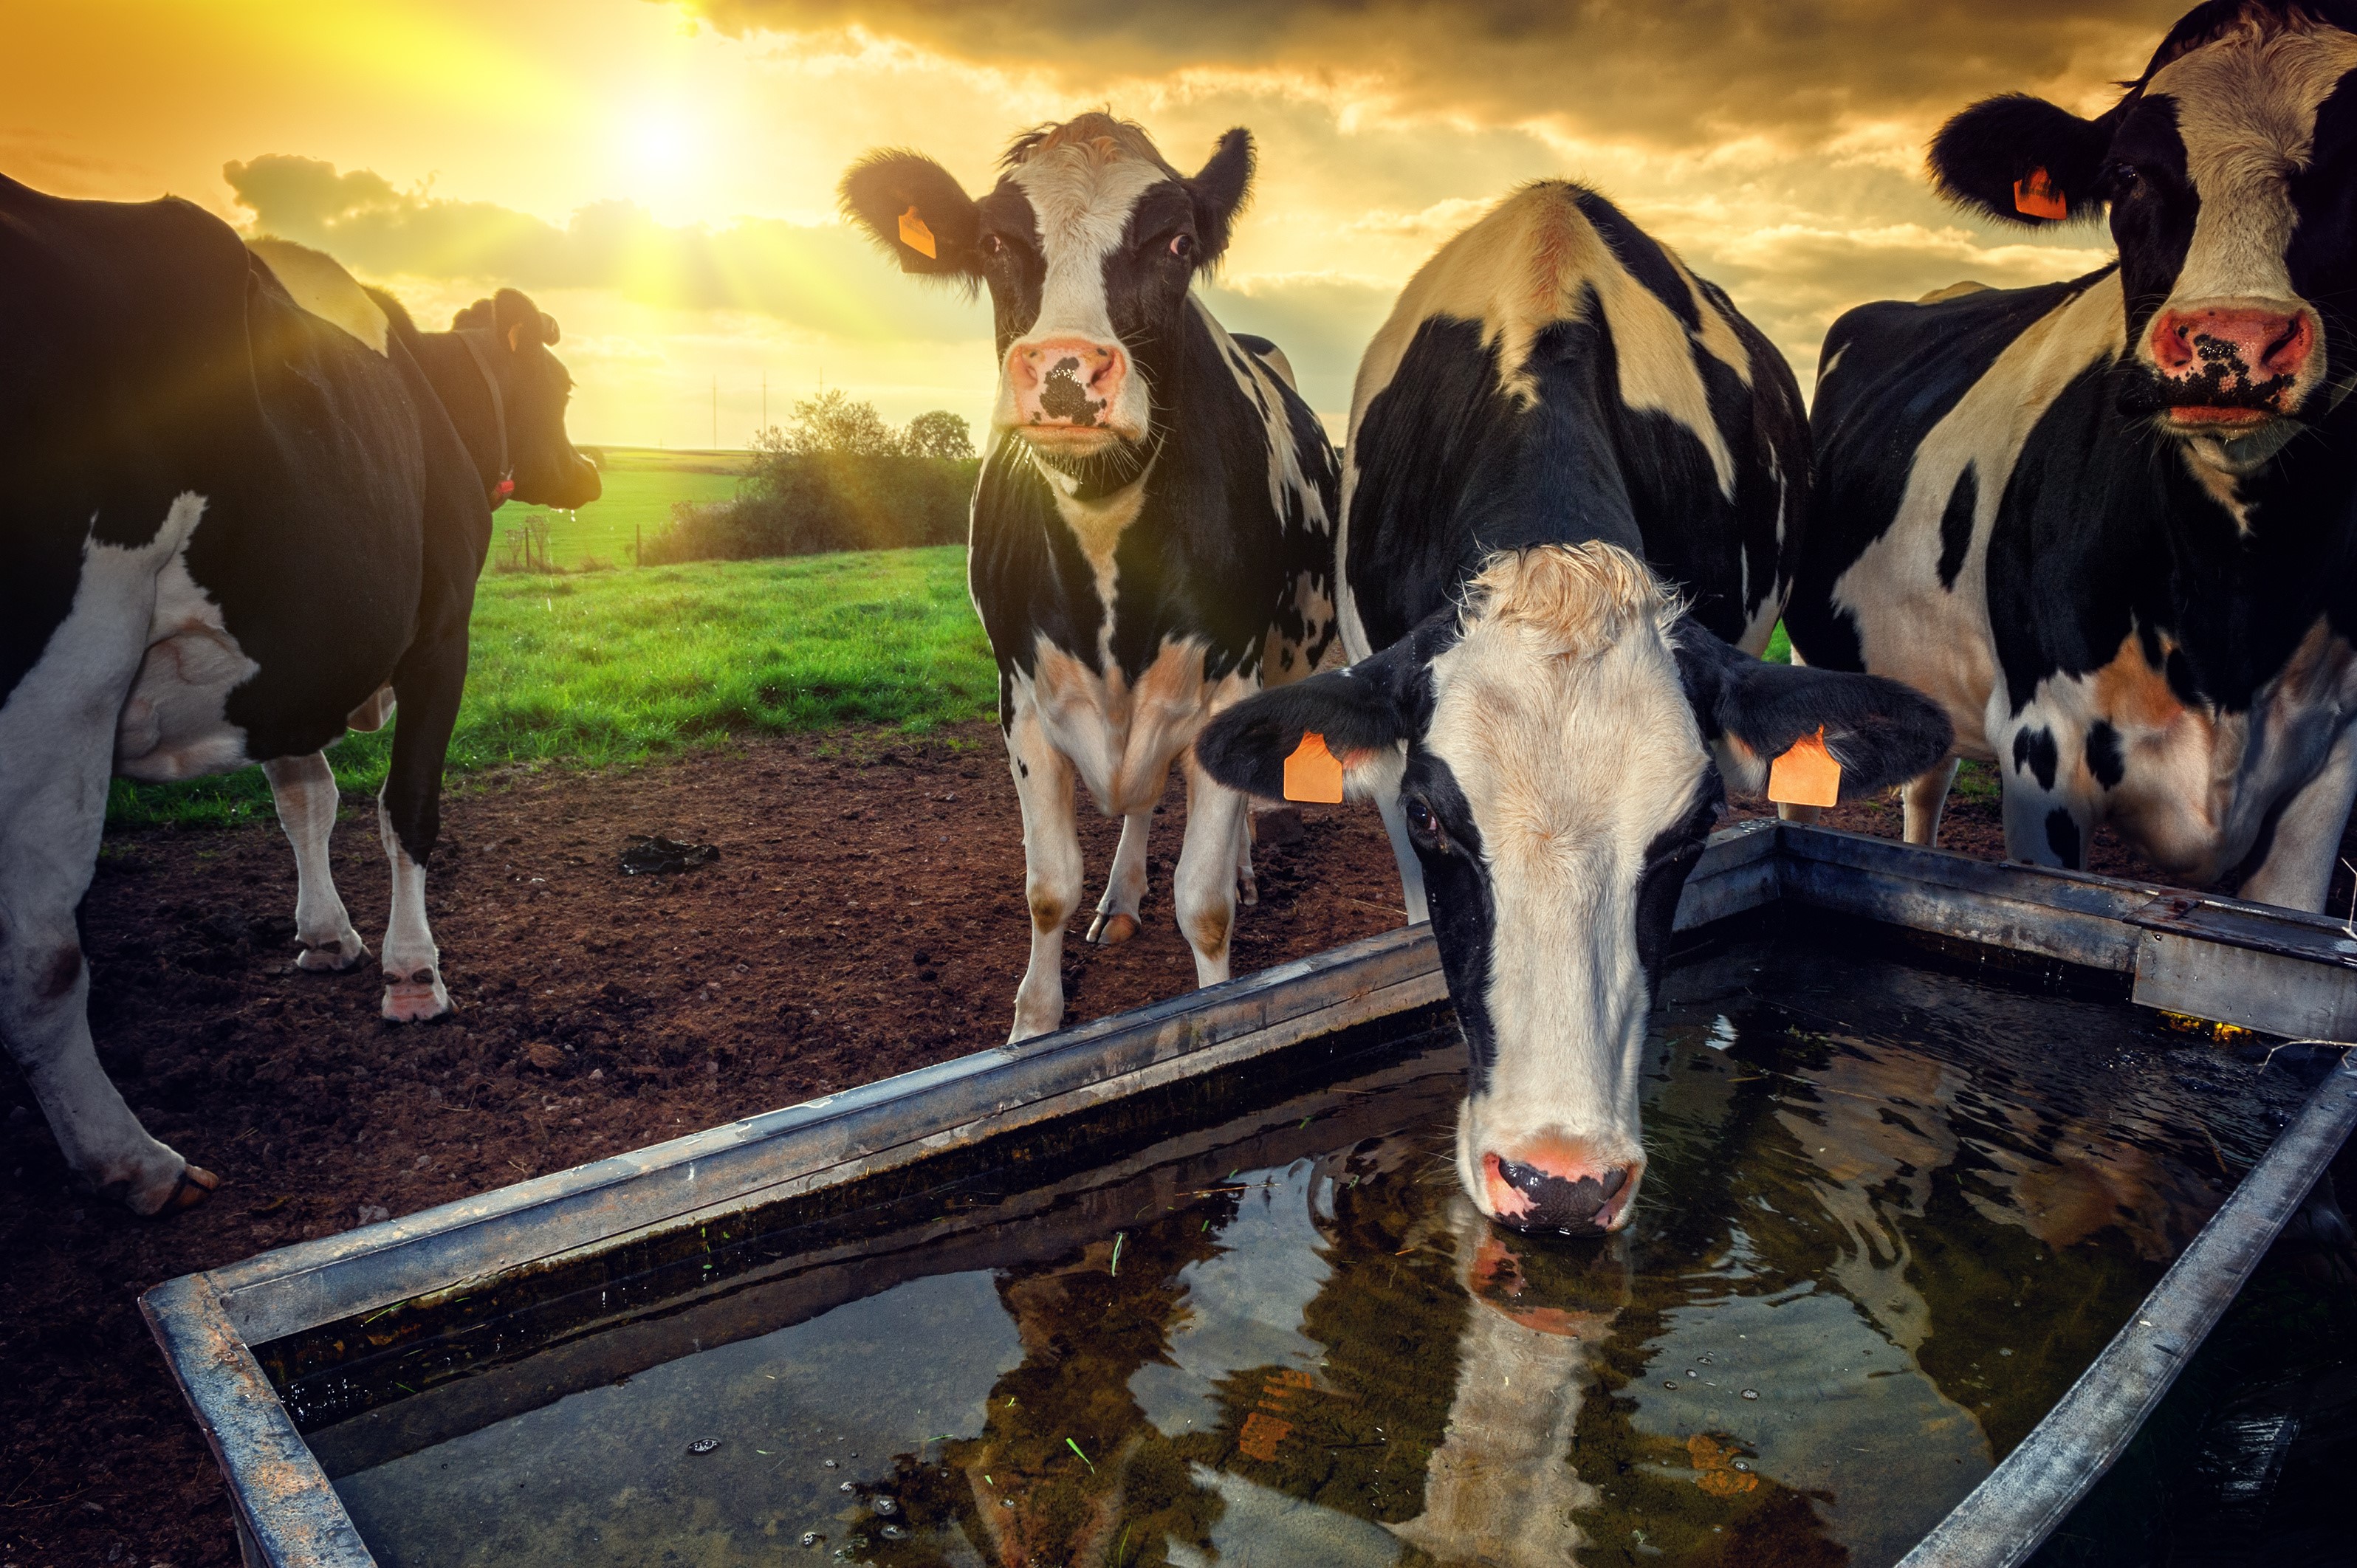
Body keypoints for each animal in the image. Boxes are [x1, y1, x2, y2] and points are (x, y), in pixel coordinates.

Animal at [0, 180, 596, 1214]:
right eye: (559, 390)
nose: (594, 472)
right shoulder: (440, 632)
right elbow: (408, 807)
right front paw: (412, 975)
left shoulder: (289, 658)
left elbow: (305, 800)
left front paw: (326, 938)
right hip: (64, 684)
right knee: (41, 956)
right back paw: (139, 1162)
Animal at [840, 114, 1340, 1042]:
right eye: (995, 242)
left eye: (1177, 243)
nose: (1068, 369)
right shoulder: (1025, 699)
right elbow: (1048, 889)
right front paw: (1034, 1024)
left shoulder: (1225, 685)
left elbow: (1204, 905)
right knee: (1138, 804)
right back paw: (1122, 896)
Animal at [1787, 0, 2357, 912]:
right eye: (2125, 174)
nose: (2233, 341)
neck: (2232, 599)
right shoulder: (2042, 749)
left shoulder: (2329, 774)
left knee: (1926, 785)